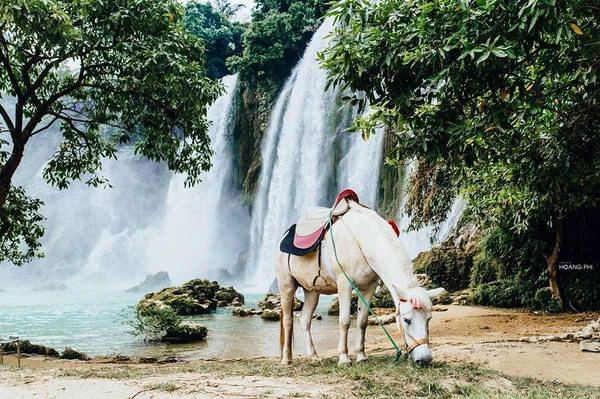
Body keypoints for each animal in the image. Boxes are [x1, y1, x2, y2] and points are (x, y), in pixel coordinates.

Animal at [276, 202, 446, 368]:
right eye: (406, 320)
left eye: (429, 319)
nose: (424, 359)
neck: (361, 240)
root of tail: (284, 235)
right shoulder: (344, 284)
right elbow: (344, 321)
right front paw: (344, 359)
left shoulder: (369, 286)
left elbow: (362, 321)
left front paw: (361, 357)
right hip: (286, 285)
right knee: (288, 320)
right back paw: (286, 360)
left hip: (312, 290)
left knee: (304, 319)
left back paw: (314, 357)